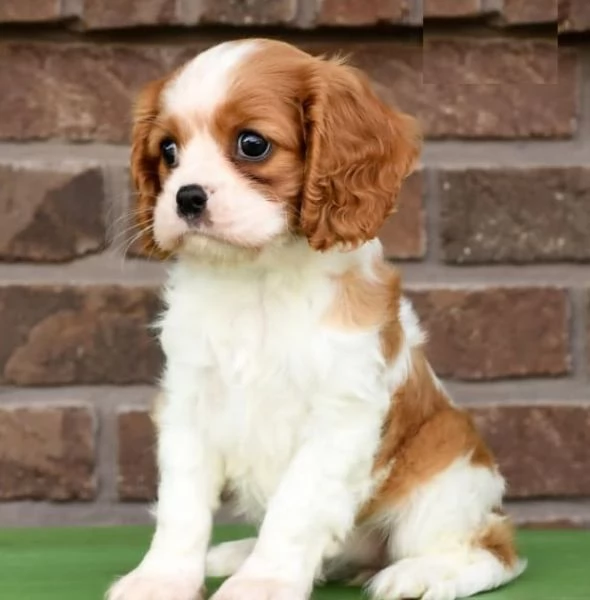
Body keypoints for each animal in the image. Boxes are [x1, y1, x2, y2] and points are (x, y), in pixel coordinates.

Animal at [110, 38, 528, 600]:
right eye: (168, 152)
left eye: (252, 144)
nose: (186, 196)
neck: (258, 278)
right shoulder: (189, 407)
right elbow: (182, 508)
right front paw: (161, 579)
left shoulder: (339, 417)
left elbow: (296, 508)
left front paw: (262, 583)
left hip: (443, 478)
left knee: (495, 549)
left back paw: (422, 574)